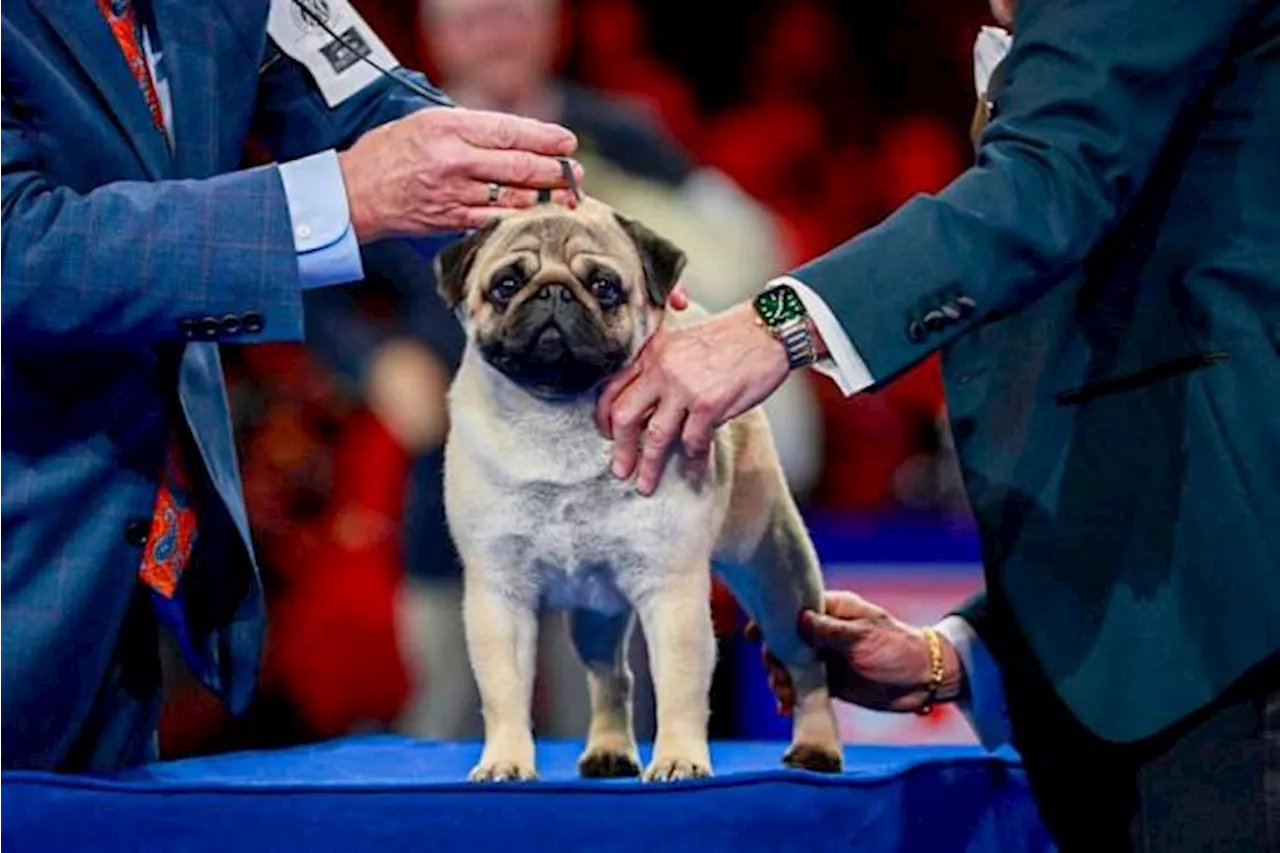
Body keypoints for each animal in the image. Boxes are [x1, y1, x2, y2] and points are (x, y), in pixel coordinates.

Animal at [435, 195, 844, 778]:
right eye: (507, 284)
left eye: (604, 286)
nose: (554, 291)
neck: (558, 421)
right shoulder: (500, 594)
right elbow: (505, 692)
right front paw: (505, 761)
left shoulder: (671, 593)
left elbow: (679, 689)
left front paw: (678, 759)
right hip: (597, 613)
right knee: (612, 677)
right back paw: (609, 751)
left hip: (777, 576)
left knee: (806, 663)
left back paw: (817, 746)